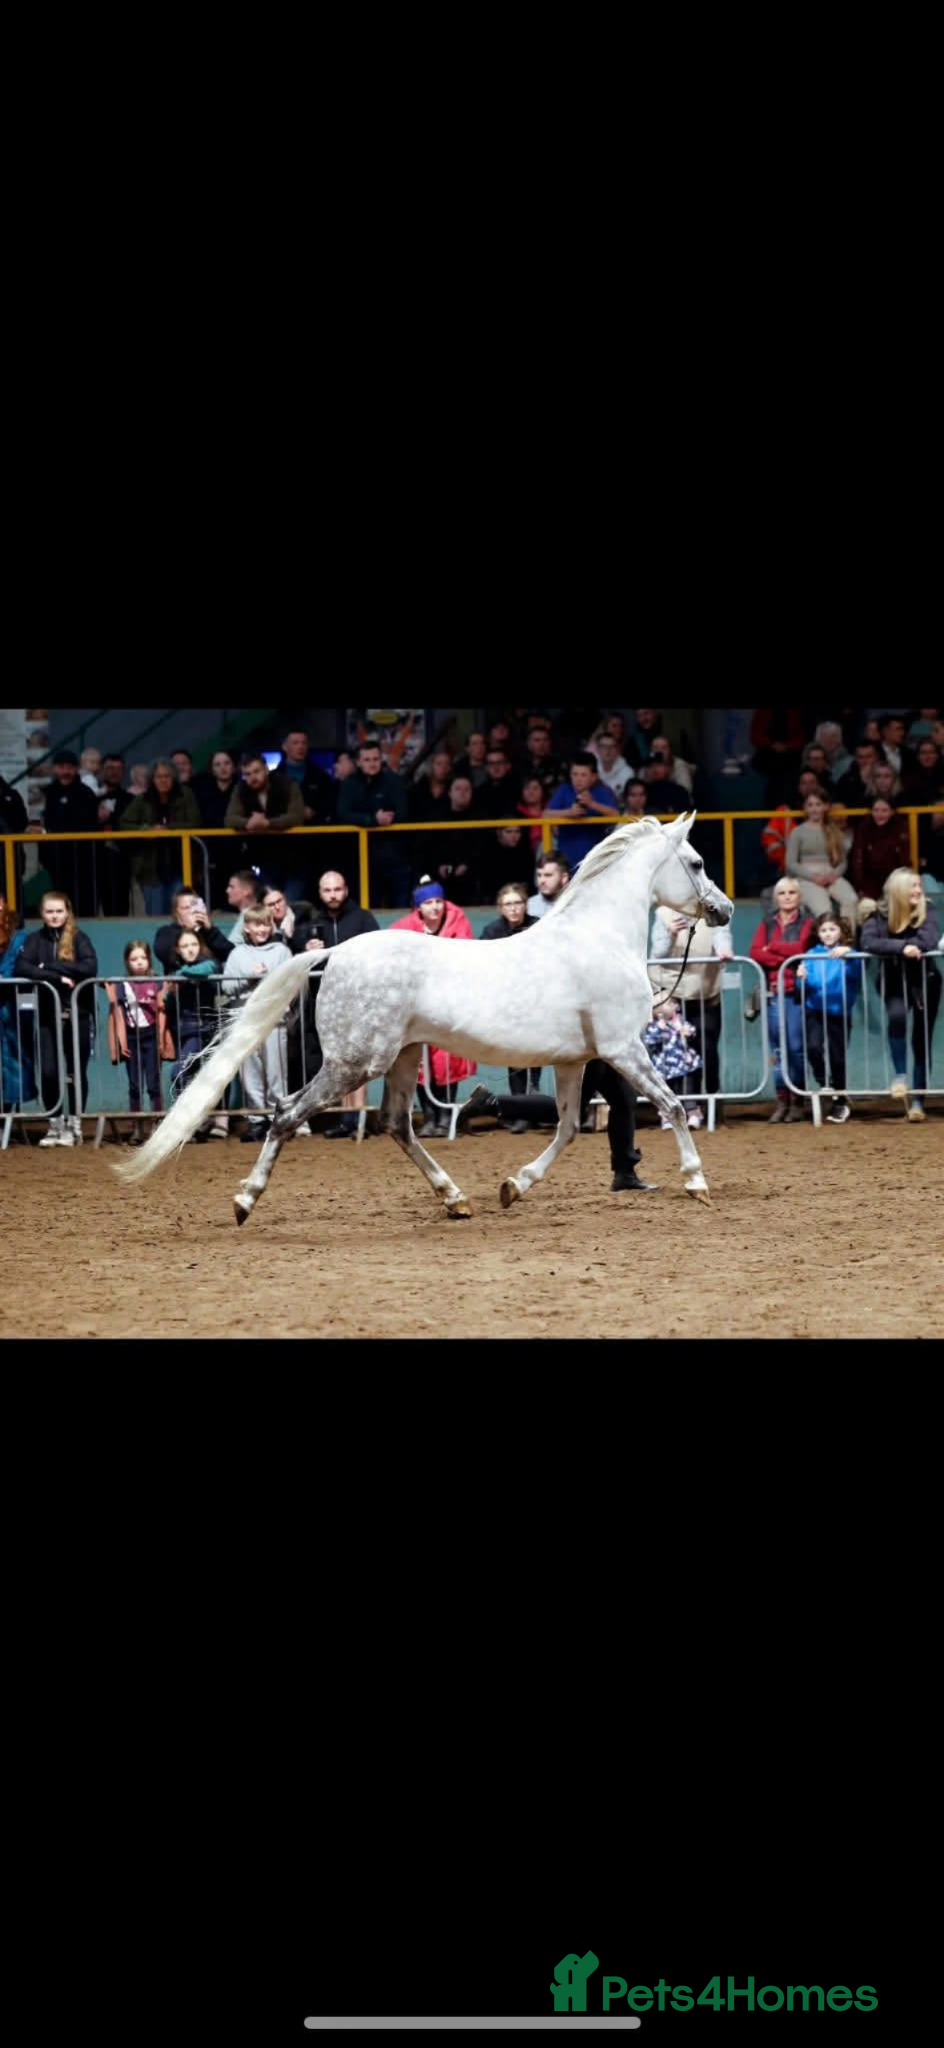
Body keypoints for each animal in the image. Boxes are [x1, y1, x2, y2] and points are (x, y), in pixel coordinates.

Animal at [115, 812, 733, 1222]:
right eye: (697, 862)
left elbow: (566, 1128)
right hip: (355, 1063)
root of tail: (333, 952)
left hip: (402, 1058)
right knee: (288, 1113)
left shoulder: (574, 1061)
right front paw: (697, 1182)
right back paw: (245, 1200)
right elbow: (672, 1105)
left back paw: (455, 1198)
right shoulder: (624, 1048)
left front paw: (513, 1186)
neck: (597, 937)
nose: (723, 910)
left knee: (395, 1123)